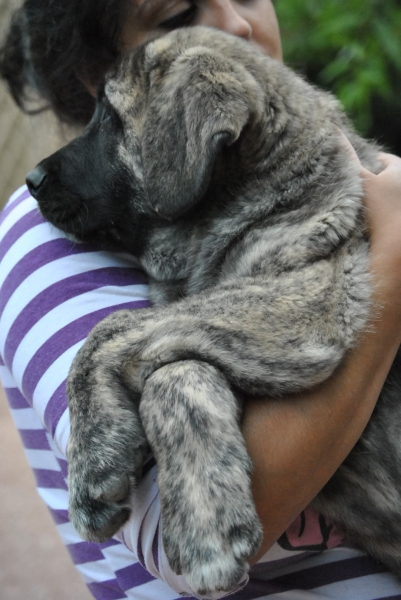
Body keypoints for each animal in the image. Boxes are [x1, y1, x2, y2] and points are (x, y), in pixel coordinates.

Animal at [25, 27, 400, 596]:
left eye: (110, 117)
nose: (30, 178)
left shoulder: (313, 297)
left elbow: (114, 333)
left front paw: (102, 469)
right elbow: (174, 362)